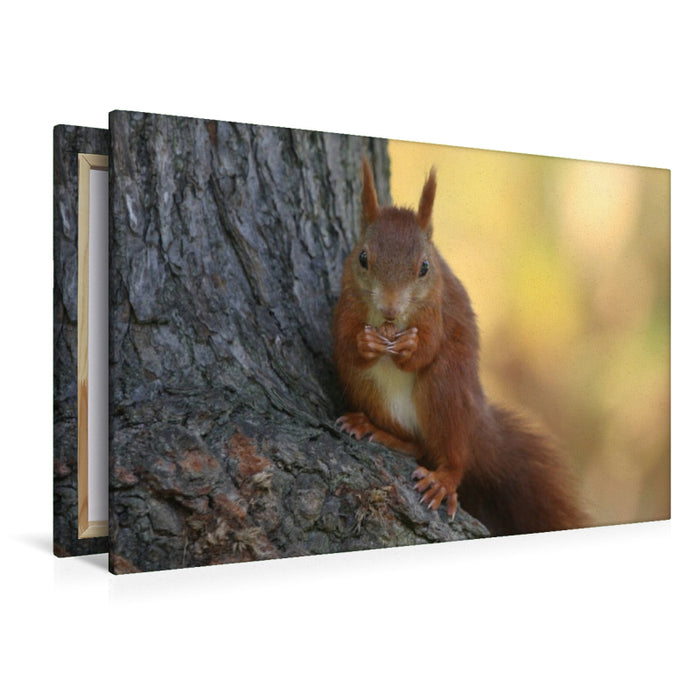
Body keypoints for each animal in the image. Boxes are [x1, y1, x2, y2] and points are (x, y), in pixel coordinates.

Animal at [332, 157, 586, 536]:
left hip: (445, 390)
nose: (390, 309)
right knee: (417, 445)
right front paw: (365, 342)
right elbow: (343, 341)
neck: (390, 322)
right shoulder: (347, 300)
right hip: (366, 389)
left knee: (453, 456)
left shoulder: (436, 308)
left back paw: (444, 480)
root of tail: (476, 424)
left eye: (424, 267)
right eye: (363, 258)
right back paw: (374, 429)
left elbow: (427, 347)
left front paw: (410, 347)